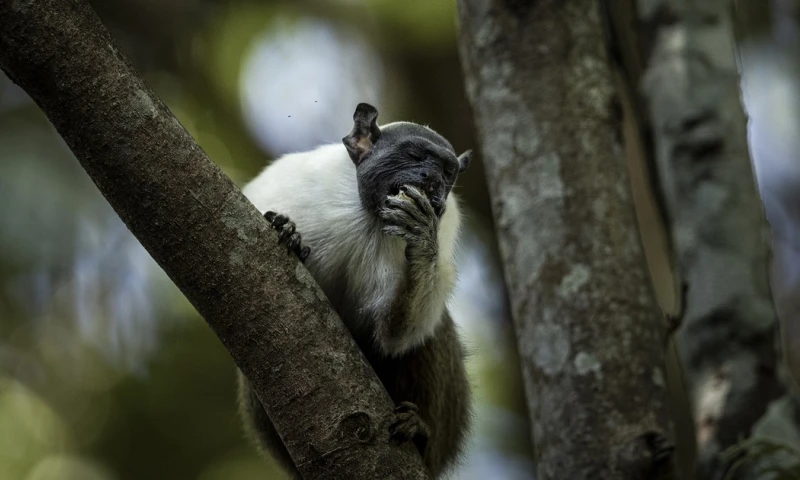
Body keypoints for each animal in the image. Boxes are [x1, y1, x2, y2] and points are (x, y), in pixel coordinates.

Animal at [236, 103, 473, 479]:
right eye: (415, 155)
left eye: (447, 171)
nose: (432, 180)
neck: (369, 217)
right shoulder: (295, 180)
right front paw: (288, 232)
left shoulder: (446, 220)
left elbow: (396, 334)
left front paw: (421, 240)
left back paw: (420, 432)